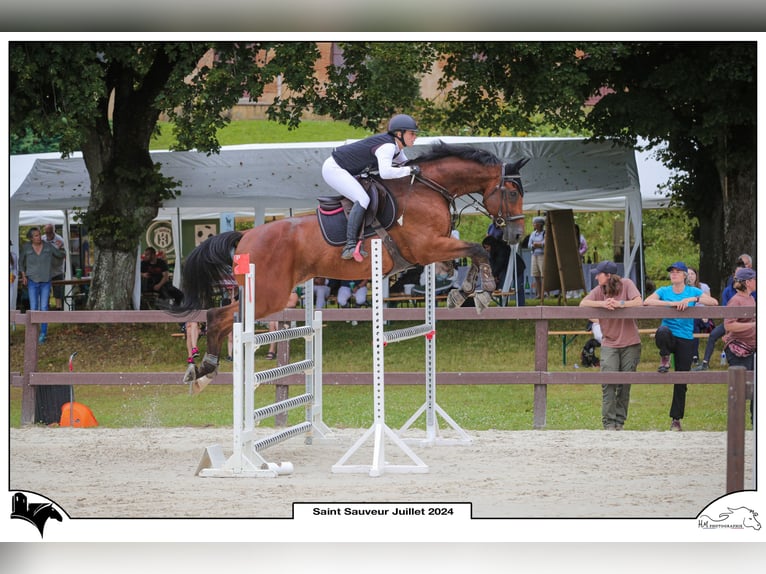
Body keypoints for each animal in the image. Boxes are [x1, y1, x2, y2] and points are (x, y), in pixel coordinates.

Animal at [179, 142, 528, 394]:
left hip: (266, 293)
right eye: (512, 193)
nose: (516, 235)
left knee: (224, 319)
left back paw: (204, 370)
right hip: (268, 294)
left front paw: (462, 292)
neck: (429, 188)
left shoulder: (433, 251)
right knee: (218, 316)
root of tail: (246, 235)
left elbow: (469, 255)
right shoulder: (426, 246)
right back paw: (205, 367)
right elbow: (476, 249)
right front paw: (482, 292)